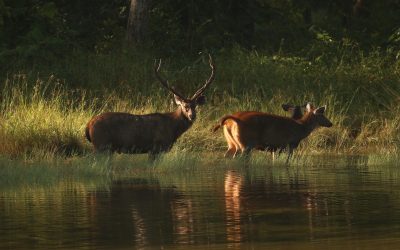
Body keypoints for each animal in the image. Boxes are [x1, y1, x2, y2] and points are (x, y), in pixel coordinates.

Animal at [85, 56, 216, 159]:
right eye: (185, 106)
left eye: (195, 106)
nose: (192, 116)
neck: (173, 129)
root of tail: (88, 125)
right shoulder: (156, 148)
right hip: (102, 145)